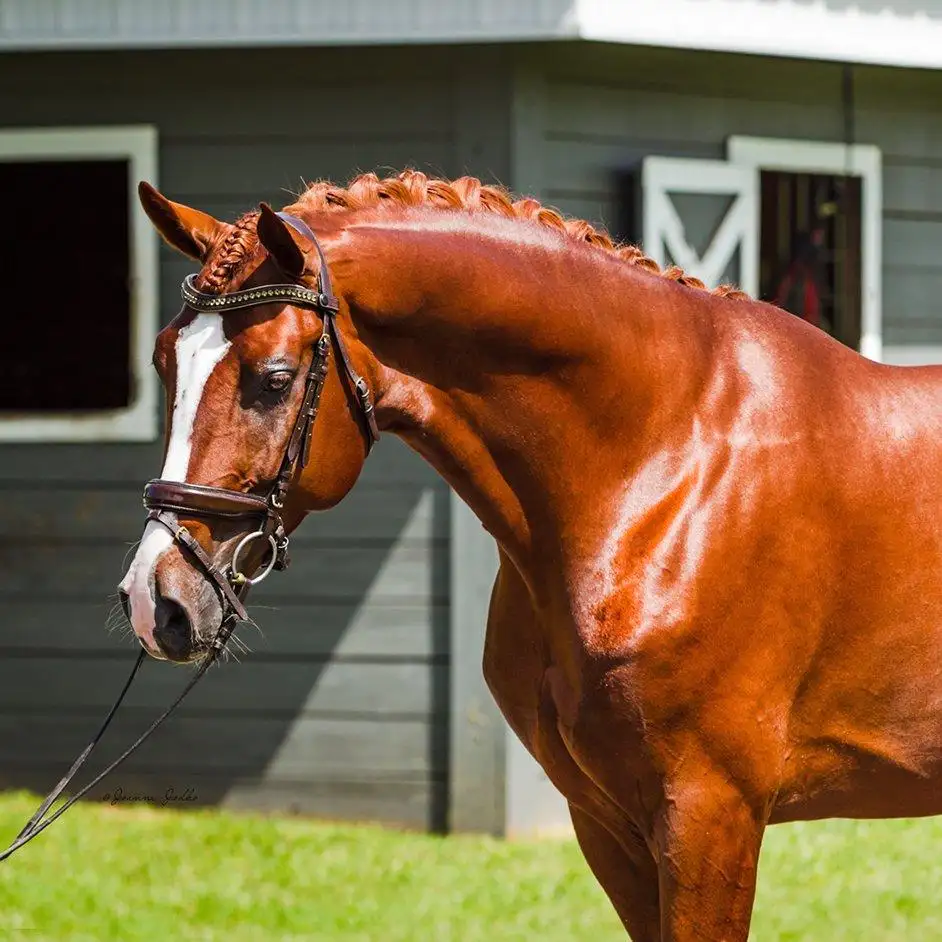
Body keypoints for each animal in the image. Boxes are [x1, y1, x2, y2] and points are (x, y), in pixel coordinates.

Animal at [121, 171, 942, 942]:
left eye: (275, 379)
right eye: (163, 362)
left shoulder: (711, 815)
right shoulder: (608, 824)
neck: (667, 460)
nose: (156, 600)